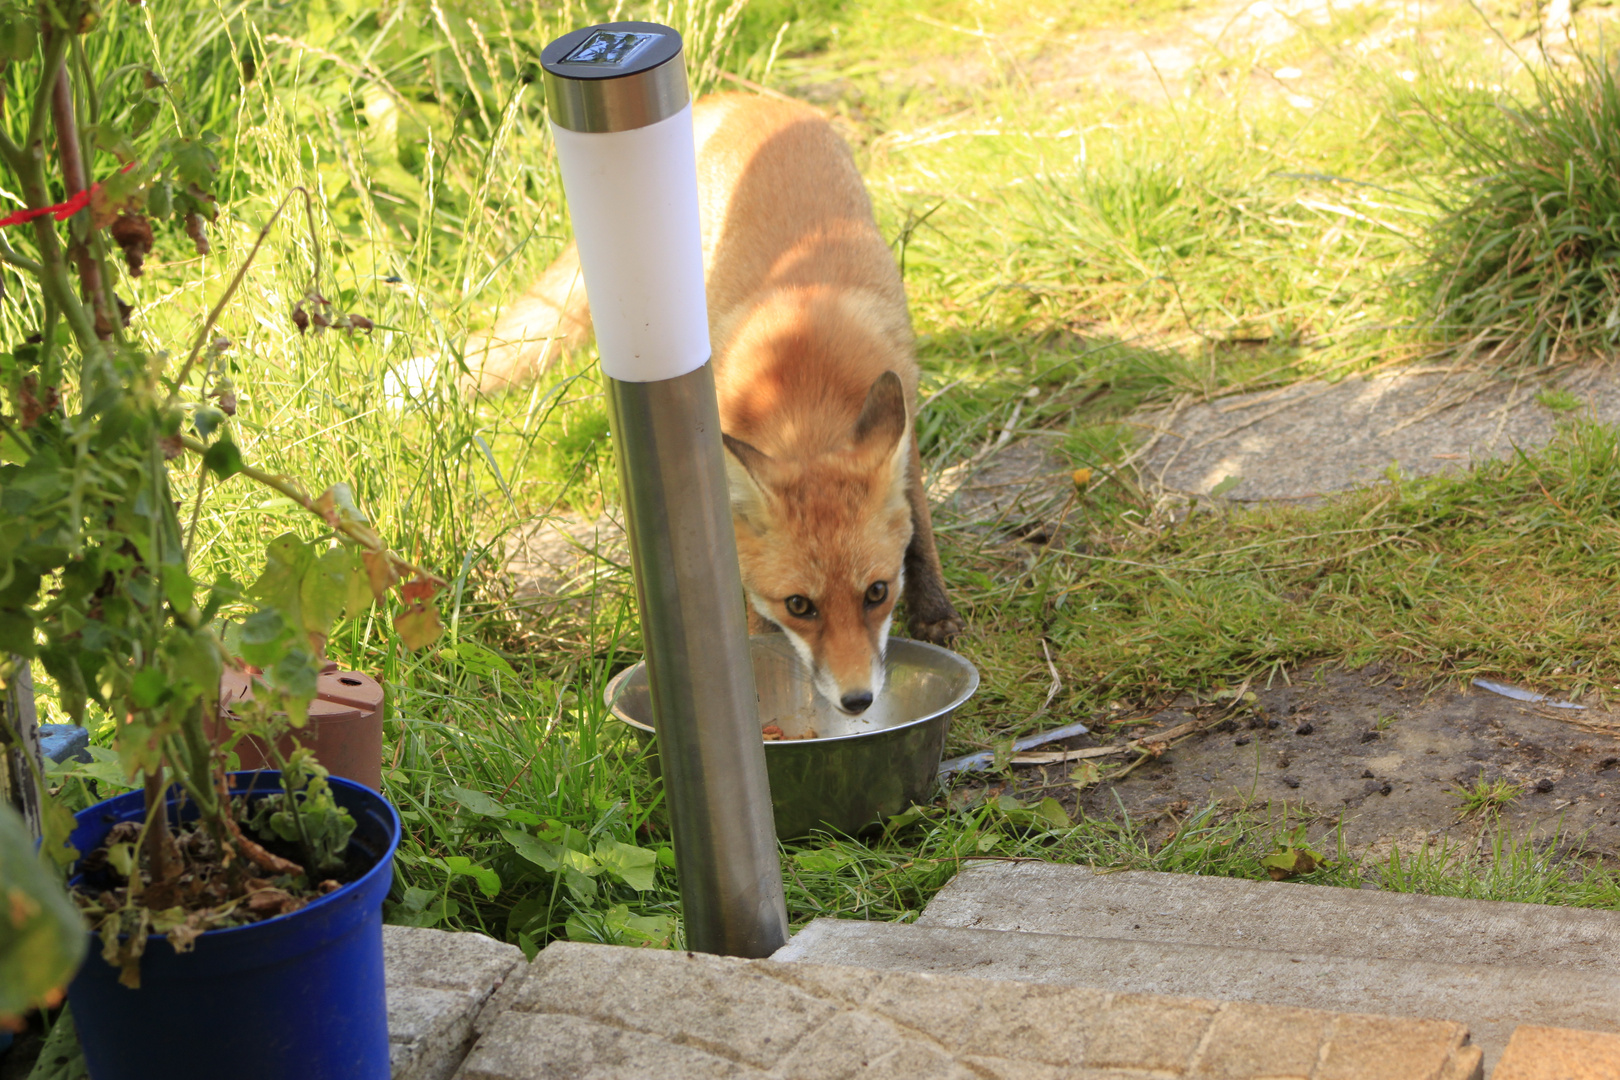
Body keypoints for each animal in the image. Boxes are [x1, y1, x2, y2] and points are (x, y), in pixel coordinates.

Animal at [460, 93, 959, 712]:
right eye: (800, 605)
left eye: (877, 593)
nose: (857, 701)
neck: (804, 380)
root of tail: (741, 99)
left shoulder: (902, 416)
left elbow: (919, 528)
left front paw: (934, 610)